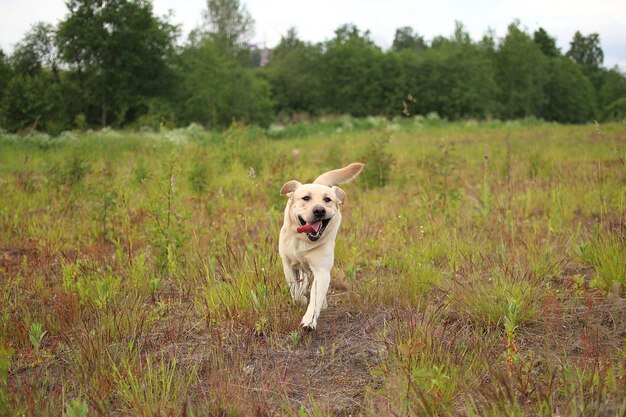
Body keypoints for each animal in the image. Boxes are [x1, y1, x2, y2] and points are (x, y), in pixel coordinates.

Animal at [276, 162, 360, 328]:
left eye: (327, 199)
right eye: (306, 198)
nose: (319, 210)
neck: (304, 240)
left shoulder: (322, 271)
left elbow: (315, 299)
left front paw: (309, 320)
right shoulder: (288, 266)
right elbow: (295, 293)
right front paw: (301, 299)